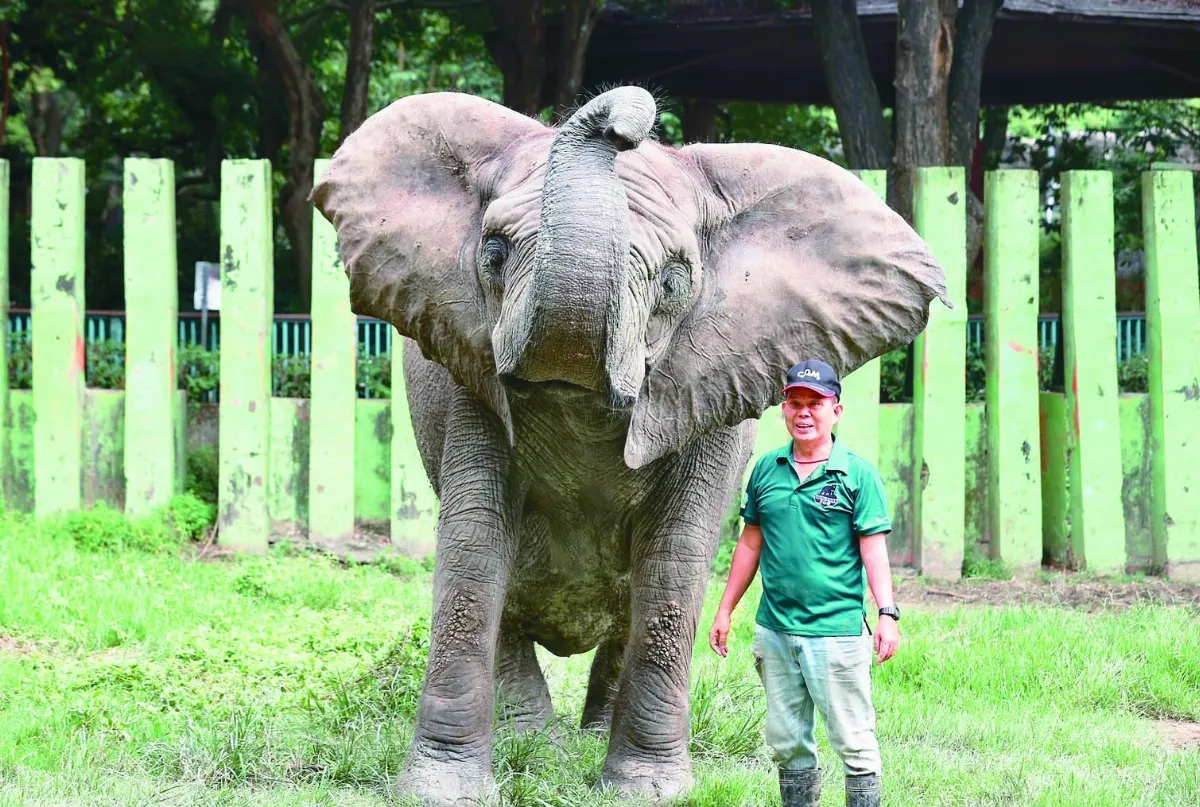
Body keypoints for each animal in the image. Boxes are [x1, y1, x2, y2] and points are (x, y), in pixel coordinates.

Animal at [311, 85, 950, 805]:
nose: (625, 121)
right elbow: (474, 554)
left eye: (673, 282)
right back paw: (537, 744)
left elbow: (673, 568)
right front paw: (442, 790)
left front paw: (647, 789)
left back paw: (586, 744)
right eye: (493, 253)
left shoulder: (710, 393)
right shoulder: (468, 376)